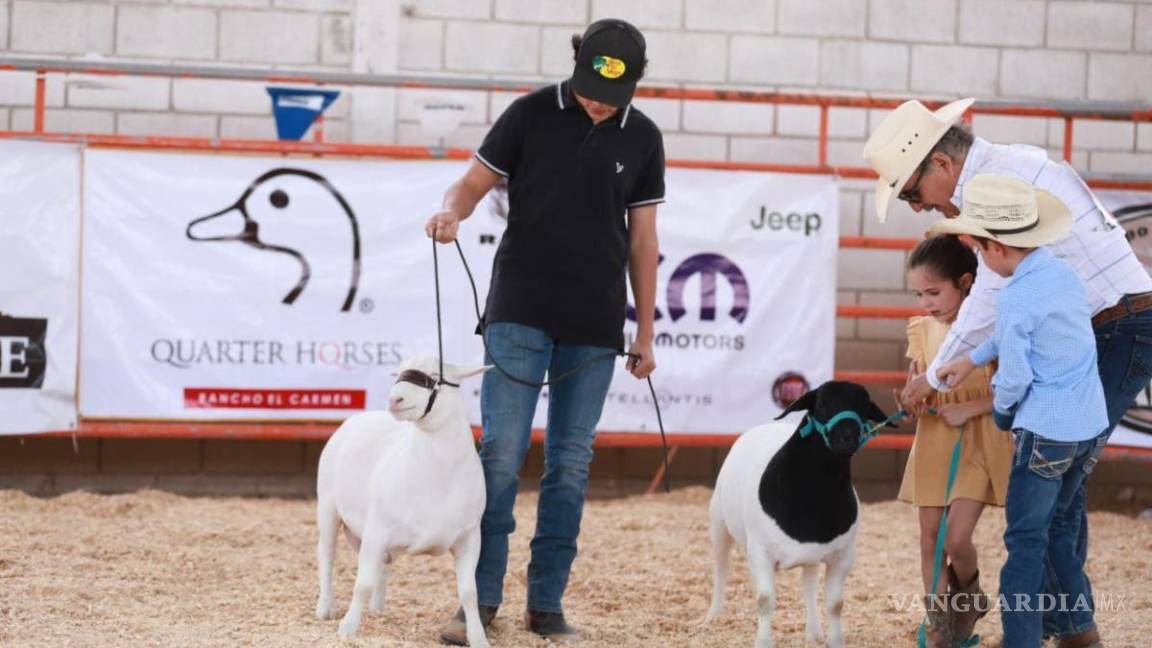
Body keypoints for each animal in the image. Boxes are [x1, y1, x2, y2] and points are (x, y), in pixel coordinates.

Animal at [315, 355, 490, 641]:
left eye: (435, 375)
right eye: (398, 373)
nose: (394, 399)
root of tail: (361, 416)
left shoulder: (470, 538)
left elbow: (469, 593)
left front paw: (477, 638)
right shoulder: (376, 530)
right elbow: (362, 584)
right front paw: (348, 628)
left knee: (382, 566)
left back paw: (377, 608)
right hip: (328, 506)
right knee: (327, 556)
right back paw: (325, 608)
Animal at [700, 380, 889, 641]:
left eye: (863, 406)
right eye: (821, 403)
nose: (847, 438)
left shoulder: (844, 556)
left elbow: (835, 604)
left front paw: (834, 640)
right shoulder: (760, 553)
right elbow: (765, 601)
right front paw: (763, 642)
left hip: (810, 557)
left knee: (808, 586)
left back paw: (814, 633)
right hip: (718, 523)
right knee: (721, 568)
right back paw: (714, 616)